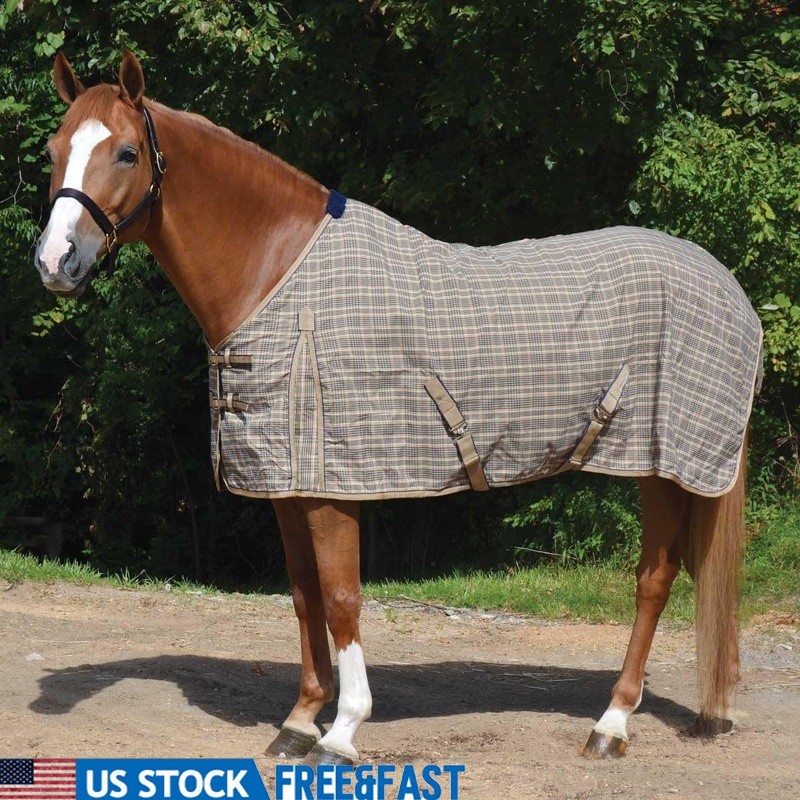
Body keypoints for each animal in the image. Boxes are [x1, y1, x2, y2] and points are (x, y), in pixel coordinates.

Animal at [33, 51, 762, 765]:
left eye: (127, 152)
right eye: (54, 149)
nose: (55, 261)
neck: (279, 274)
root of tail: (727, 286)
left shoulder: (334, 487)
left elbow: (342, 598)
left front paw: (343, 730)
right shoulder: (288, 484)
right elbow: (304, 595)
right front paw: (300, 720)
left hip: (664, 466)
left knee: (654, 581)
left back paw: (611, 724)